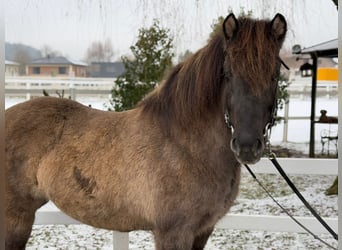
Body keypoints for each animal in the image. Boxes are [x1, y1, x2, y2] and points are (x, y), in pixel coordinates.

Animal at [6, 13, 288, 250]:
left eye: (275, 76)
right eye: (227, 74)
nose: (247, 147)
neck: (186, 146)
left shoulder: (202, 231)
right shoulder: (173, 233)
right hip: (15, 218)